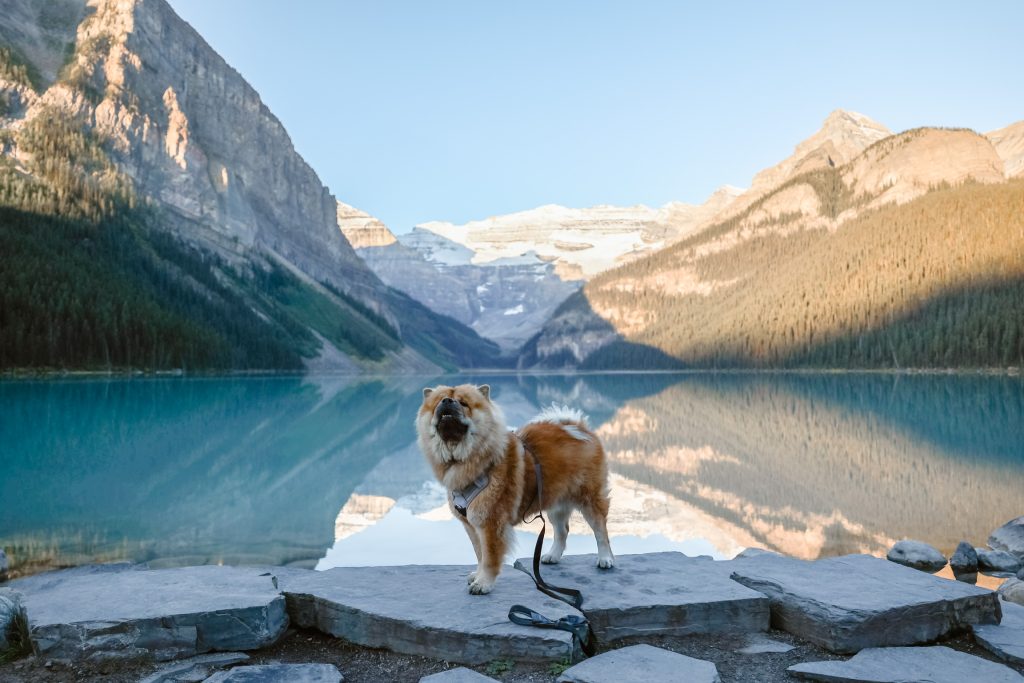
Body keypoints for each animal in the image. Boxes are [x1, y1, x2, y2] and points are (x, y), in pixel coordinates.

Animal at [411, 382, 610, 593]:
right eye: (438, 403)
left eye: (464, 403)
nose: (447, 401)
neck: (465, 460)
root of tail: (578, 428)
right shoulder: (472, 525)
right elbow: (479, 554)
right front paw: (477, 575)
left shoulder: (490, 522)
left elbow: (489, 558)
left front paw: (483, 583)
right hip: (555, 501)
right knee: (562, 530)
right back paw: (552, 556)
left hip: (589, 498)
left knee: (600, 530)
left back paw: (605, 559)